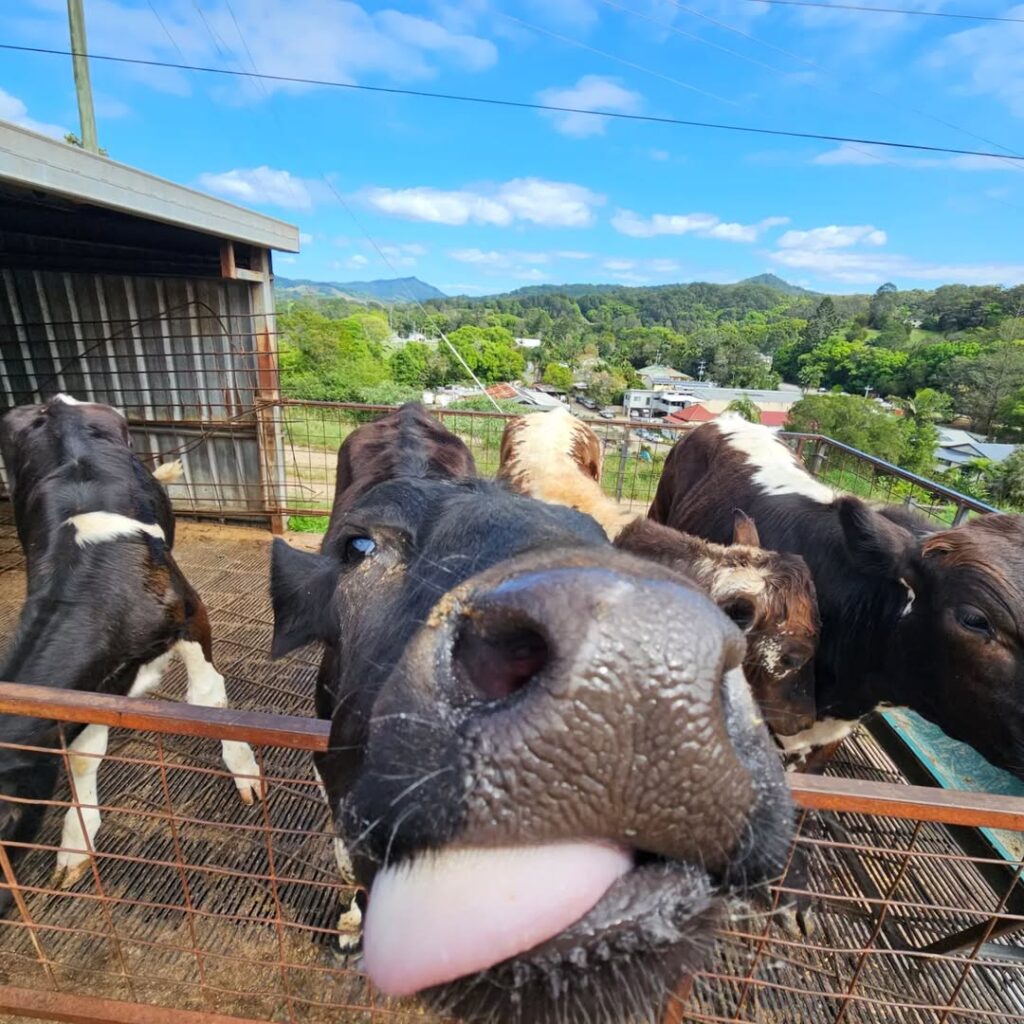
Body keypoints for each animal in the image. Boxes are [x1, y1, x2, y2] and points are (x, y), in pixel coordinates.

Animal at [0, 391, 262, 905]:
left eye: (5, 819)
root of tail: (54, 403)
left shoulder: (191, 614)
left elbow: (209, 698)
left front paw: (243, 767)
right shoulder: (91, 687)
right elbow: (83, 754)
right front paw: (76, 844)